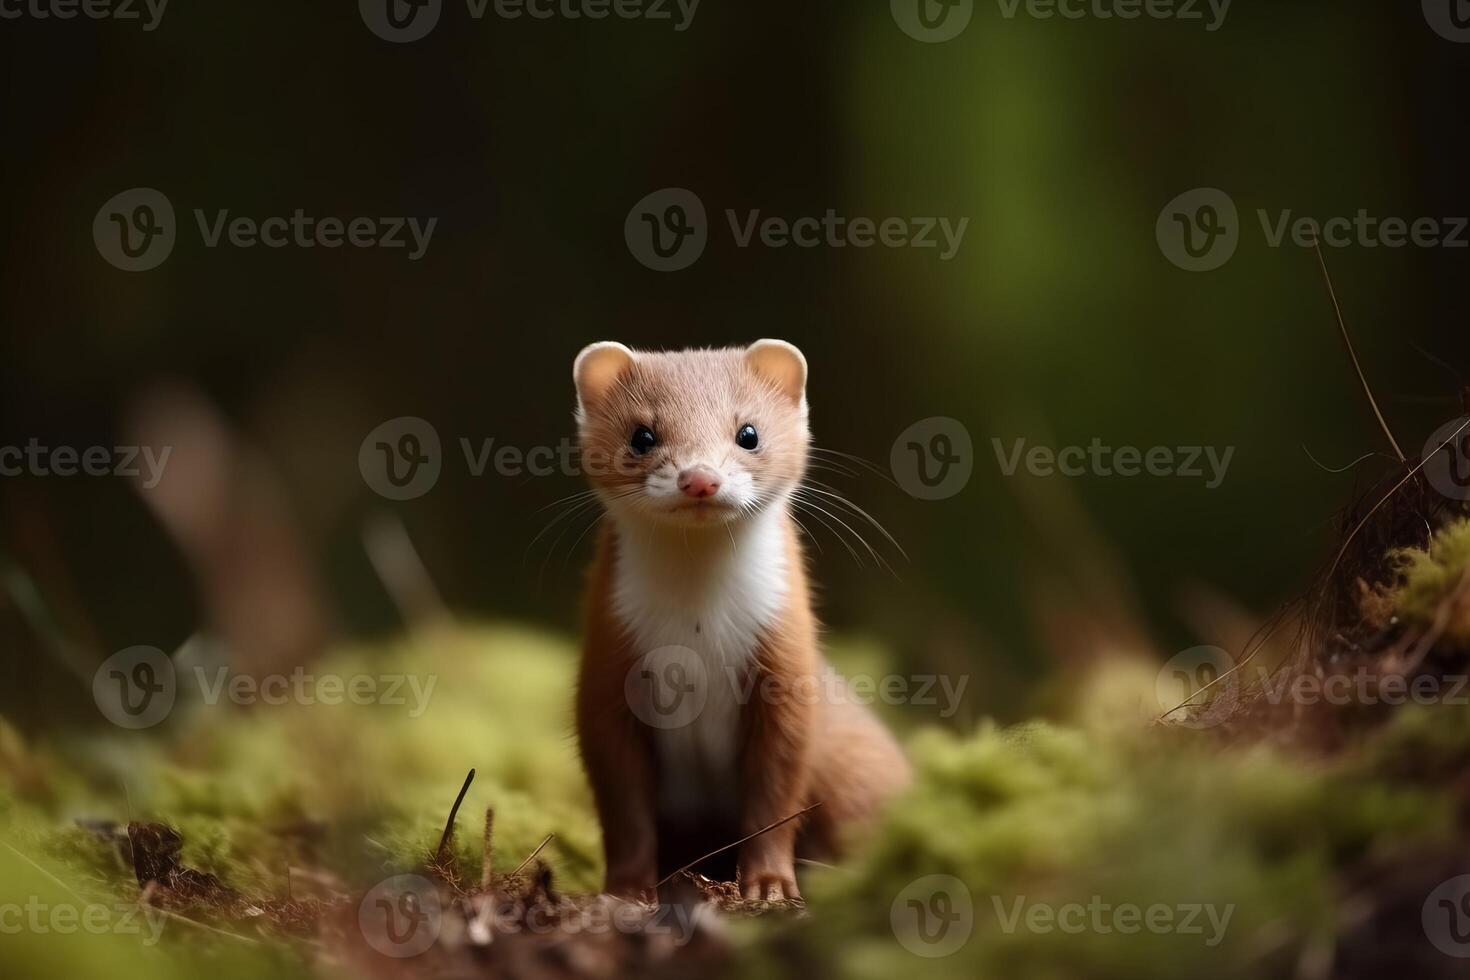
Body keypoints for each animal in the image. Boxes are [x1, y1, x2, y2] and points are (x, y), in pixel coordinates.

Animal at [570, 339, 905, 905]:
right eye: (642, 435)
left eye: (748, 432)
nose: (700, 477)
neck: (697, 630)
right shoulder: (605, 677)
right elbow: (624, 807)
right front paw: (627, 890)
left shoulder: (788, 669)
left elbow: (776, 793)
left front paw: (769, 886)